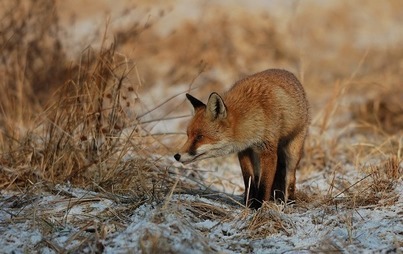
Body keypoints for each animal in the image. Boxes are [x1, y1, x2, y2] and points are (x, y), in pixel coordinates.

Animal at [174, 69, 310, 208]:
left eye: (200, 137)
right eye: (188, 135)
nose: (177, 156)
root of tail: (288, 73)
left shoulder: (268, 151)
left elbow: (265, 183)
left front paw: (259, 206)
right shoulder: (244, 150)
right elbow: (248, 179)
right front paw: (249, 203)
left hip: (293, 152)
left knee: (291, 177)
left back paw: (290, 201)